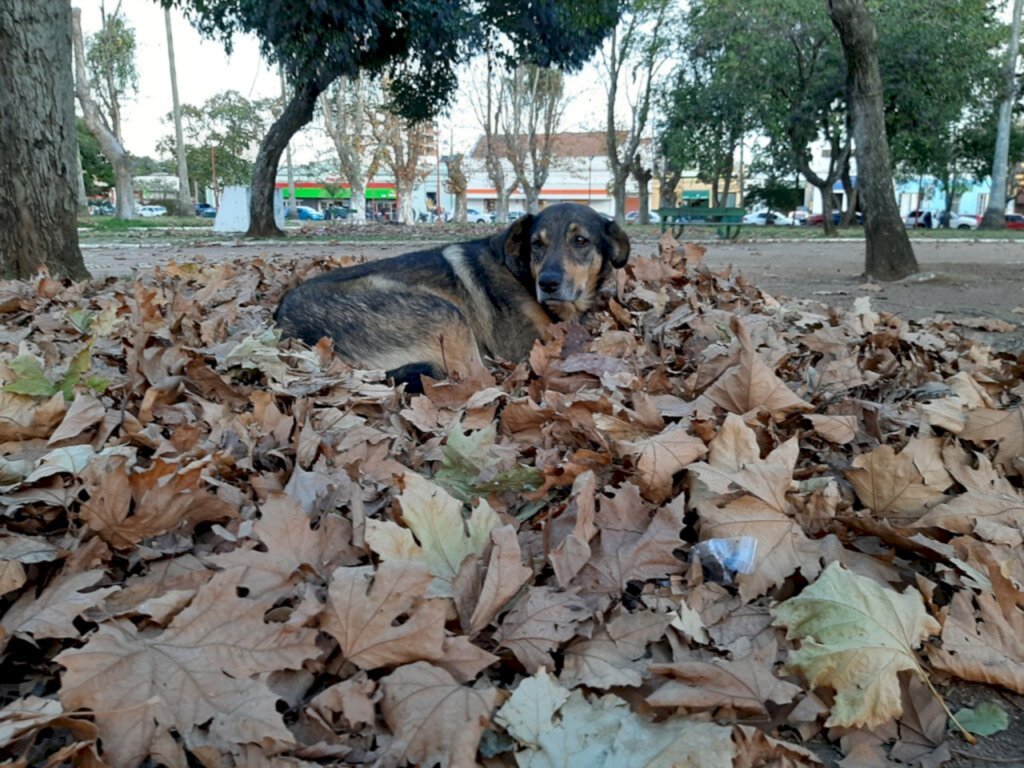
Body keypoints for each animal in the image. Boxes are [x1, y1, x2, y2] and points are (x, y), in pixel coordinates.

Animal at [276, 202, 630, 391]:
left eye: (581, 241)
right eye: (536, 245)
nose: (549, 283)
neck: (521, 272)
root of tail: (285, 325)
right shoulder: (526, 348)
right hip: (447, 315)